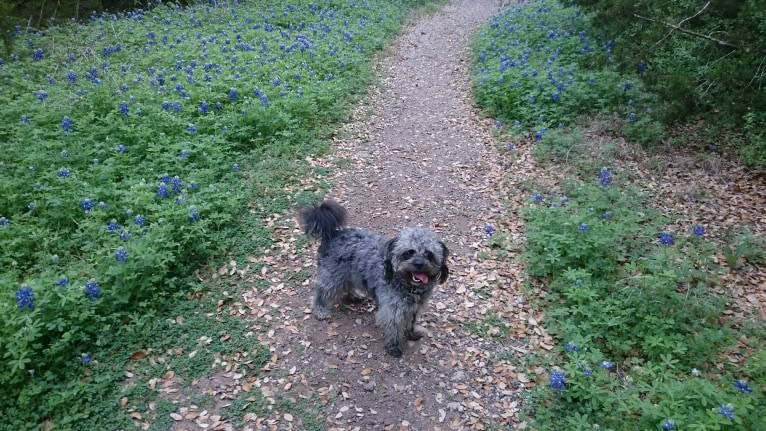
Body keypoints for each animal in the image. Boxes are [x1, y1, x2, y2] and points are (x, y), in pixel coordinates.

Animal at [298, 201, 450, 360]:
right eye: (409, 252)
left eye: (429, 254)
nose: (419, 264)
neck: (406, 284)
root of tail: (333, 234)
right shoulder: (392, 310)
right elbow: (394, 329)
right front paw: (393, 346)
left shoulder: (413, 308)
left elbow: (410, 323)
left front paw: (411, 334)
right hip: (333, 277)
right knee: (321, 292)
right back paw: (320, 310)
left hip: (349, 274)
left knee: (347, 286)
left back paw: (353, 297)